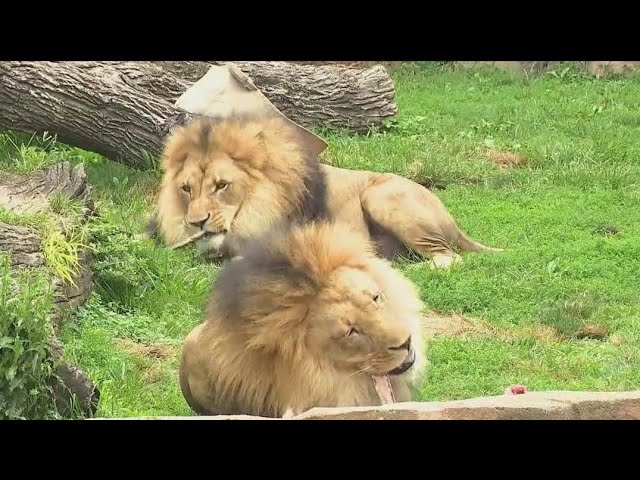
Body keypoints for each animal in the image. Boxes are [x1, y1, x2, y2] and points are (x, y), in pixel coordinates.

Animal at [149, 114, 500, 268]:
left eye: (222, 186)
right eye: (186, 189)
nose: (196, 222)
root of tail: (452, 221)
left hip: (382, 196)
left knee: (450, 257)